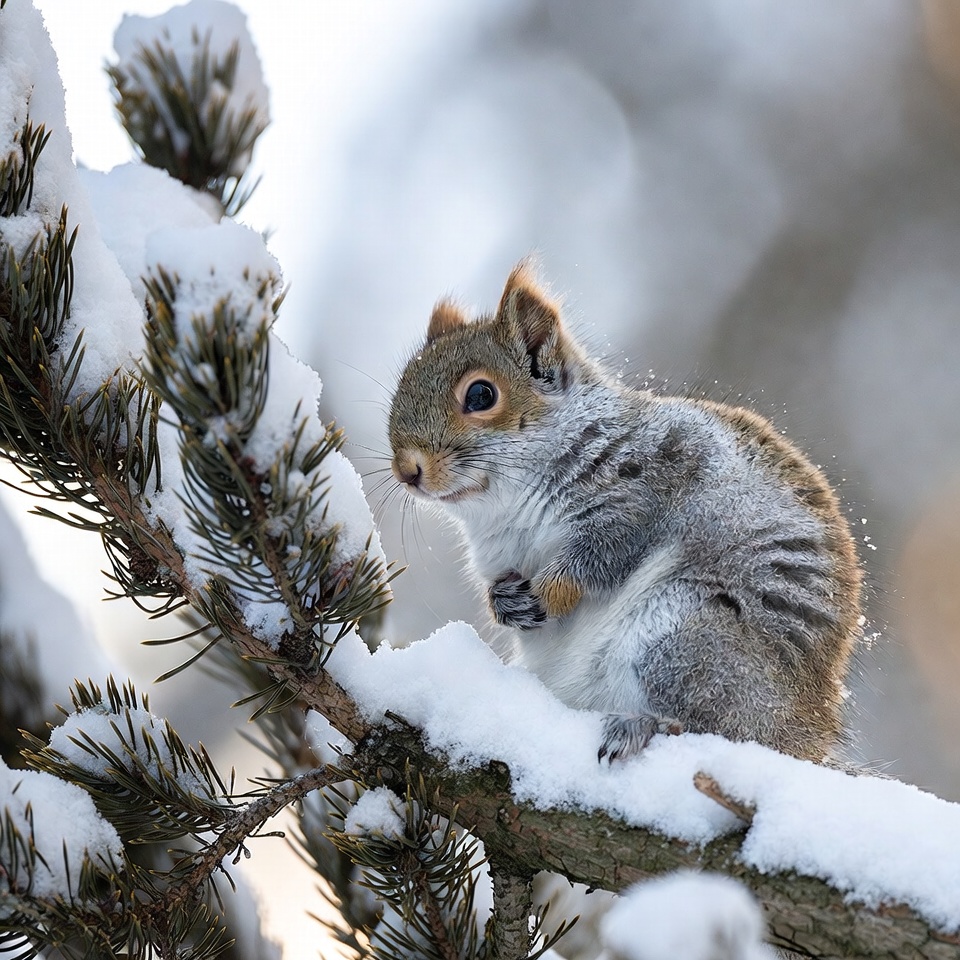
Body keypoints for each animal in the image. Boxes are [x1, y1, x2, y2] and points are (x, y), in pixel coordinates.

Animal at [388, 264, 862, 762]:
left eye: (481, 395)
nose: (406, 470)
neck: (506, 506)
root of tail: (804, 737)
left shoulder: (646, 490)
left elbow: (603, 554)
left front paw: (548, 592)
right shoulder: (500, 554)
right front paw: (506, 602)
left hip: (682, 636)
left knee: (718, 731)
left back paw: (642, 727)